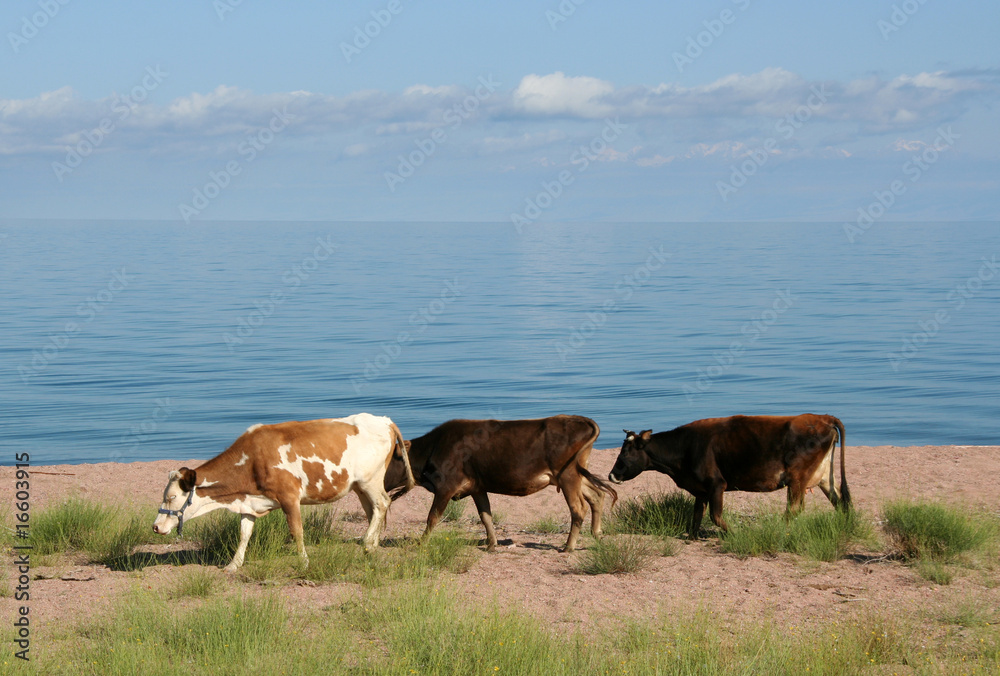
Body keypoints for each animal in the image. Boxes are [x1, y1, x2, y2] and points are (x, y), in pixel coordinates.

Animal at [152, 413, 414, 571]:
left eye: (171, 497)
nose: (155, 527)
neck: (253, 459)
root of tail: (384, 420)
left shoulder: (289, 498)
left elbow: (296, 531)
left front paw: (304, 562)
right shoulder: (249, 503)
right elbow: (244, 534)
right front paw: (234, 564)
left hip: (371, 481)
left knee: (382, 504)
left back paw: (368, 543)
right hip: (360, 486)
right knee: (373, 511)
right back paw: (374, 545)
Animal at [384, 415, 617, 553]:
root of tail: (579, 419)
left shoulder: (445, 488)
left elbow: (432, 517)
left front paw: (421, 543)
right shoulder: (477, 488)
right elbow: (486, 516)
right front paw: (491, 543)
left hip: (568, 476)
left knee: (578, 508)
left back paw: (569, 546)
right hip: (576, 474)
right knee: (597, 496)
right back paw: (597, 533)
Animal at [608, 414, 850, 538]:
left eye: (625, 452)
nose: (611, 475)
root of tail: (822, 418)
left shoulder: (717, 484)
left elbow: (715, 516)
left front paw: (735, 533)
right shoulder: (700, 489)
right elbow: (696, 516)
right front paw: (692, 537)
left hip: (797, 479)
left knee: (794, 509)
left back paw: (782, 529)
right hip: (822, 477)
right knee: (841, 501)